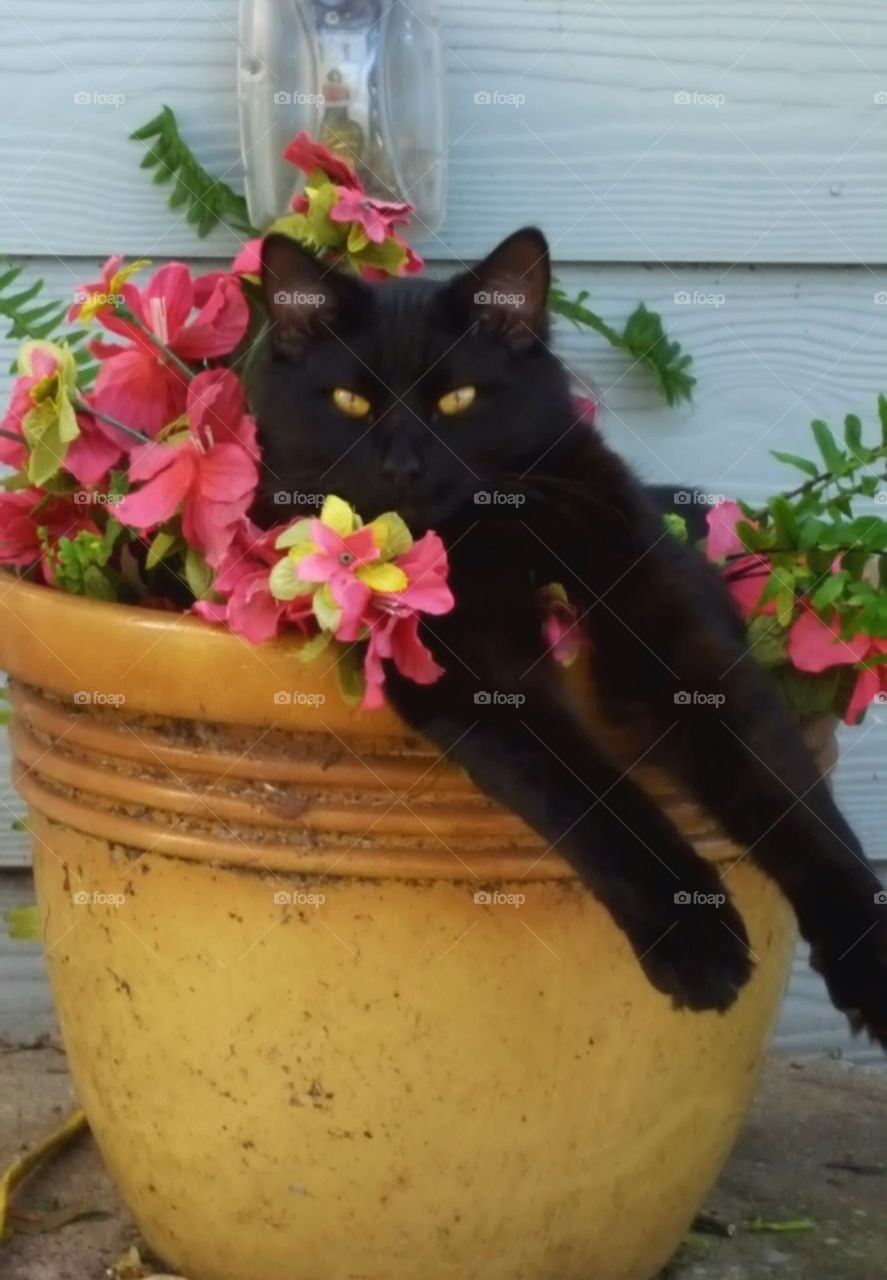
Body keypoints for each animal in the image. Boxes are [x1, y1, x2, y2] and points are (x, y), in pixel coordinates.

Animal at [252, 227, 880, 1049]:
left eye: (458, 399)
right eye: (349, 402)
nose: (403, 466)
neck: (499, 535)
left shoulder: (673, 618)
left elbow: (781, 784)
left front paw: (873, 956)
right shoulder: (476, 670)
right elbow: (588, 794)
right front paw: (696, 940)